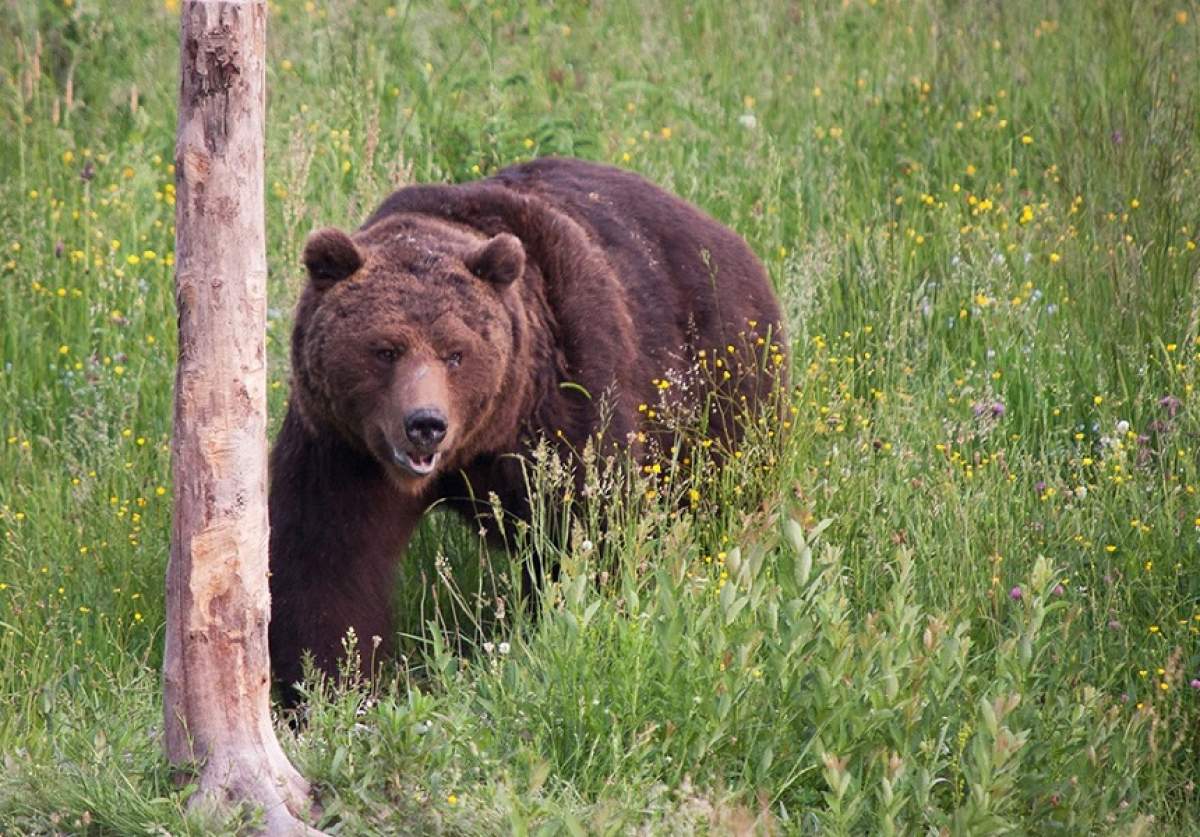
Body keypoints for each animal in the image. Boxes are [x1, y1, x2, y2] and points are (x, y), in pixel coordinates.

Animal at [267, 155, 782, 695]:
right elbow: (327, 556)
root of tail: (726, 235)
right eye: (385, 349)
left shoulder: (566, 394)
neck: (483, 438)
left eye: (455, 353)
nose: (425, 424)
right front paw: (330, 681)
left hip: (721, 393)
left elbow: (589, 528)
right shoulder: (342, 443)